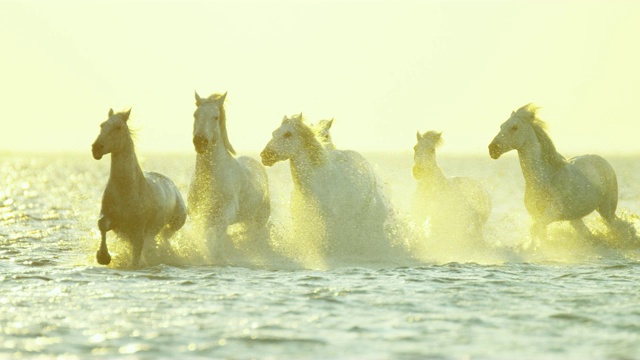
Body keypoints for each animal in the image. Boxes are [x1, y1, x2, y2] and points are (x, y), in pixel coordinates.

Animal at [92, 107, 188, 264]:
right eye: (102, 125)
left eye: (118, 127)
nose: (96, 149)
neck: (126, 188)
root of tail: (172, 185)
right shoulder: (113, 220)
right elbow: (102, 225)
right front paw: (103, 256)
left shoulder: (137, 231)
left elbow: (136, 257)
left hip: (175, 223)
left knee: (164, 237)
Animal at [189, 91, 272, 252]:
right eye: (195, 114)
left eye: (215, 117)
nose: (200, 142)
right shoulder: (197, 215)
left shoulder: (224, 215)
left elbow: (215, 238)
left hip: (260, 220)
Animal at [490, 103, 620, 245]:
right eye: (501, 126)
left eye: (514, 127)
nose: (492, 149)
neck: (543, 178)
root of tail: (603, 161)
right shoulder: (536, 215)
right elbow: (539, 233)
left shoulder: (552, 213)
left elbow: (535, 229)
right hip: (575, 217)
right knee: (586, 233)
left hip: (606, 210)